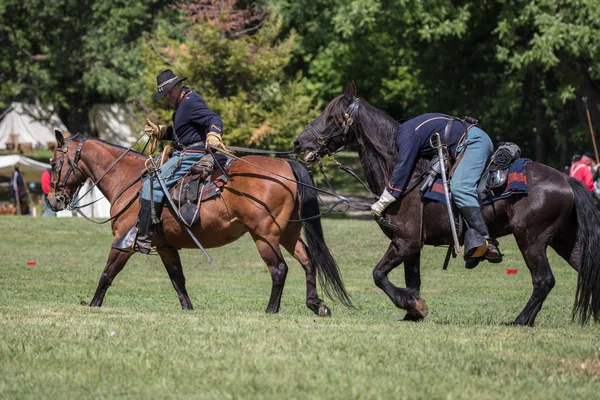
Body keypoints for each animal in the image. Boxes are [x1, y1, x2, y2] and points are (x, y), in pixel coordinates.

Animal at [49, 131, 354, 316]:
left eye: (53, 163)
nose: (54, 200)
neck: (130, 180)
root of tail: (288, 167)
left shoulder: (123, 242)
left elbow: (107, 274)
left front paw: (93, 305)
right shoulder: (166, 247)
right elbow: (178, 281)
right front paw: (188, 309)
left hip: (264, 236)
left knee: (279, 269)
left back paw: (271, 310)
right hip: (288, 234)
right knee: (308, 262)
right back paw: (315, 305)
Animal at [292, 83, 600, 326]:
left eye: (331, 117)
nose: (298, 142)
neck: (408, 178)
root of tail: (566, 180)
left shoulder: (404, 243)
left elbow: (378, 275)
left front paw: (412, 305)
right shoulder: (411, 248)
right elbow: (412, 281)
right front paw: (413, 310)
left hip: (532, 240)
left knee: (543, 280)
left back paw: (521, 320)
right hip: (565, 241)